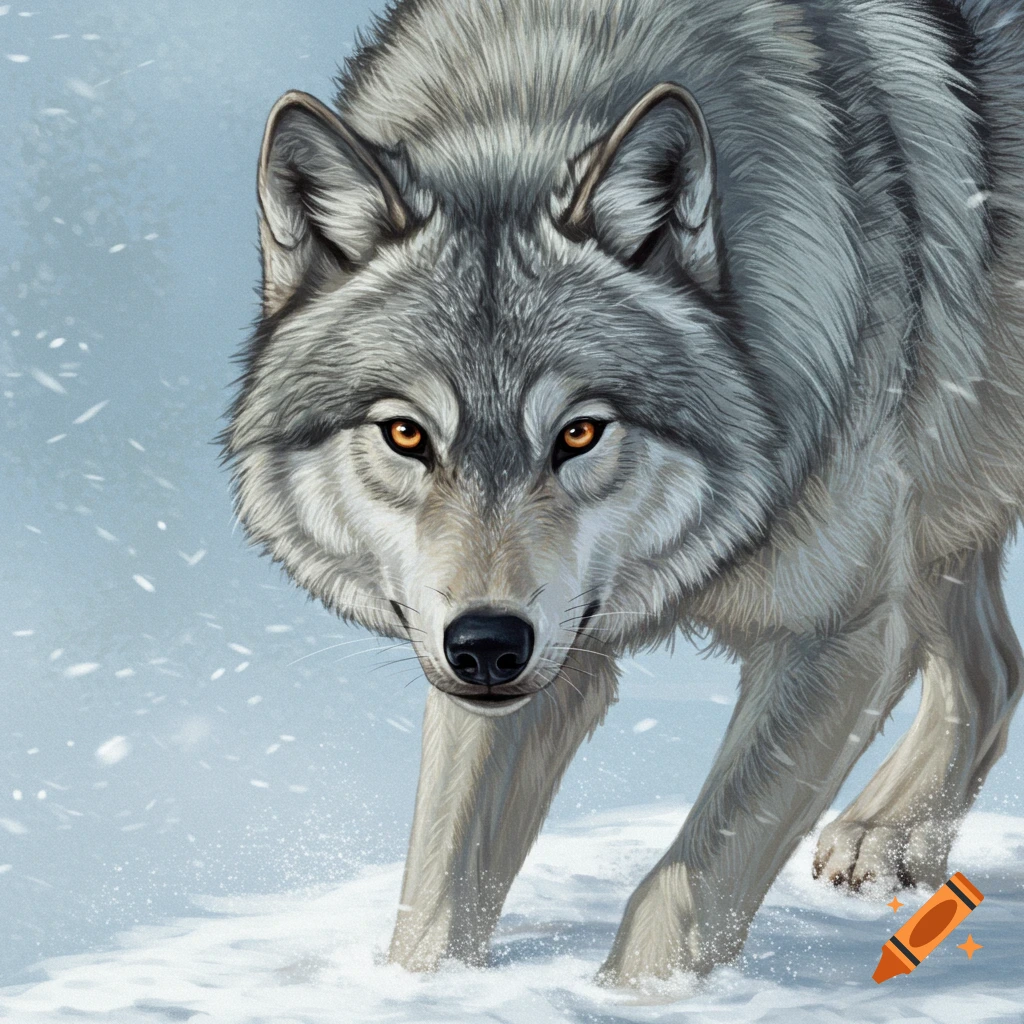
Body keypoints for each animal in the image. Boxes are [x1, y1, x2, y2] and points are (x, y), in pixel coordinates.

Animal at [222, 0, 1024, 986]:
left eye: (579, 433)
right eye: (407, 435)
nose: (486, 646)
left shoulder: (837, 631)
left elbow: (684, 889)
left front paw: (636, 997)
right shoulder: (527, 669)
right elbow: (438, 891)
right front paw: (425, 989)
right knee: (994, 667)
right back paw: (889, 838)